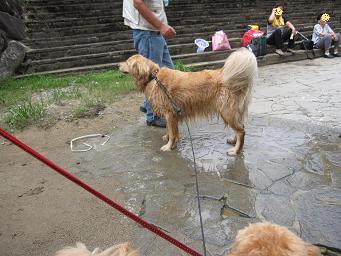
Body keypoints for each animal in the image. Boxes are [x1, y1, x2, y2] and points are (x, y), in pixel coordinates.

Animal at [118, 48, 256, 156]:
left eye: (127, 62)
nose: (118, 65)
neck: (153, 77)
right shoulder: (172, 114)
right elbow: (171, 130)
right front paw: (169, 139)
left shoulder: (170, 113)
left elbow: (172, 133)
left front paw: (169, 146)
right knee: (240, 128)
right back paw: (234, 141)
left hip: (227, 111)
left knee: (241, 131)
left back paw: (236, 151)